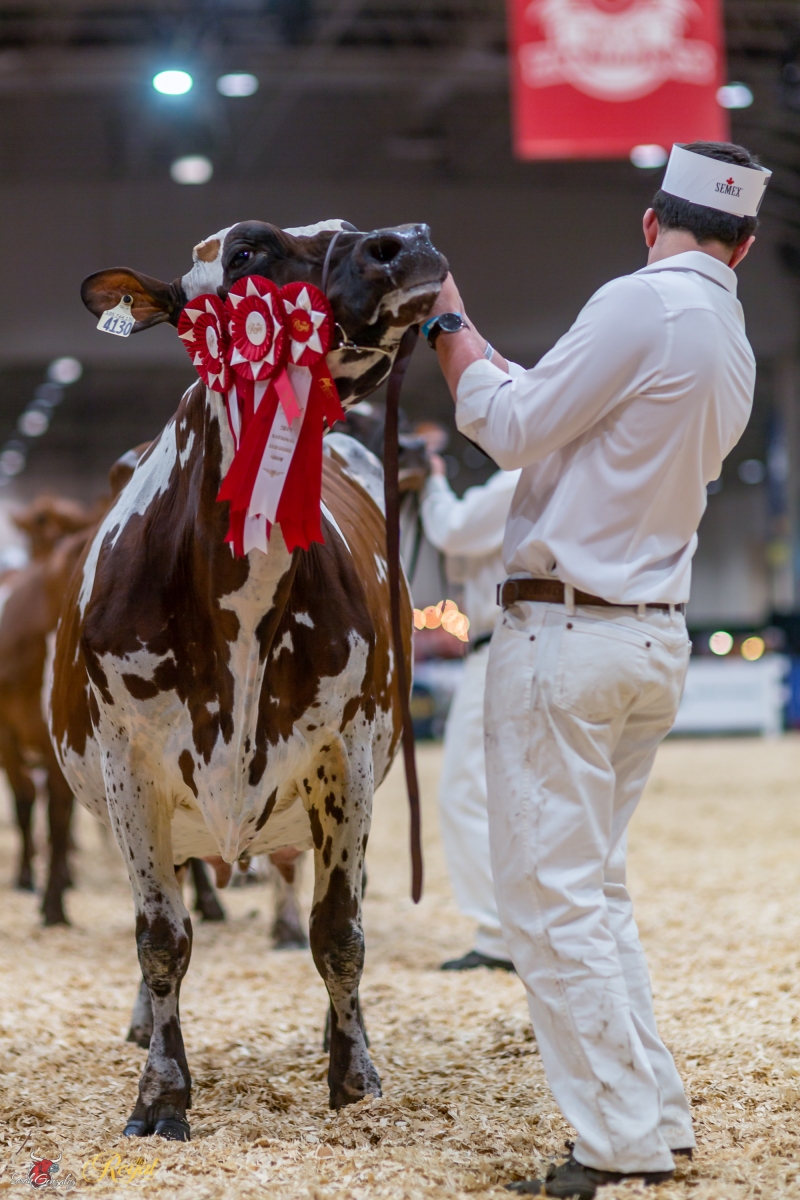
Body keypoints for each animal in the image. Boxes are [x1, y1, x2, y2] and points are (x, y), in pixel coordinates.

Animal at [48, 218, 446, 1140]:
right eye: (246, 254)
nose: (403, 241)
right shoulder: (130, 766)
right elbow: (161, 939)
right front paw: (161, 1097)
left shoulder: (347, 755)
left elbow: (341, 932)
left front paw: (353, 1079)